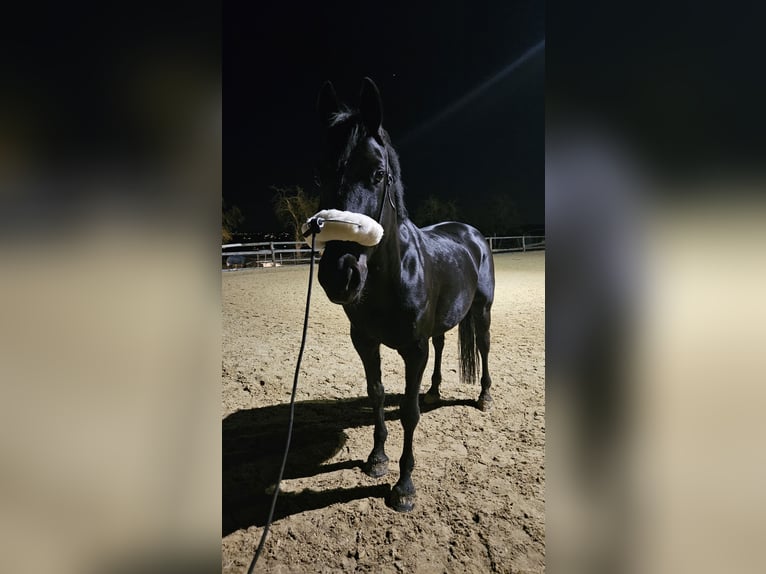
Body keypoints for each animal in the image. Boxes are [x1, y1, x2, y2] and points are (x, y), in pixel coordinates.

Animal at [312, 77, 495, 512]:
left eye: (378, 173)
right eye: (321, 174)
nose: (339, 275)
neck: (392, 275)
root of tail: (472, 233)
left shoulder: (413, 349)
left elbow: (409, 413)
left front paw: (404, 485)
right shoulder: (365, 341)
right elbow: (376, 393)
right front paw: (377, 458)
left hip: (482, 310)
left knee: (483, 346)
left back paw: (483, 397)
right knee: (443, 346)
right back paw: (435, 391)